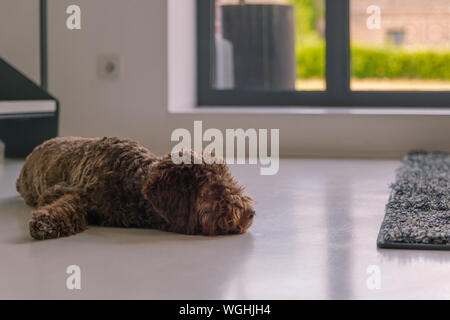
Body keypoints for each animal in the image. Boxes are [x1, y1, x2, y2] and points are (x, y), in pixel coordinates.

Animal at [15, 137, 255, 240]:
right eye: (212, 189)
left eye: (229, 180)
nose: (250, 213)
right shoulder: (60, 190)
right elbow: (67, 204)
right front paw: (46, 222)